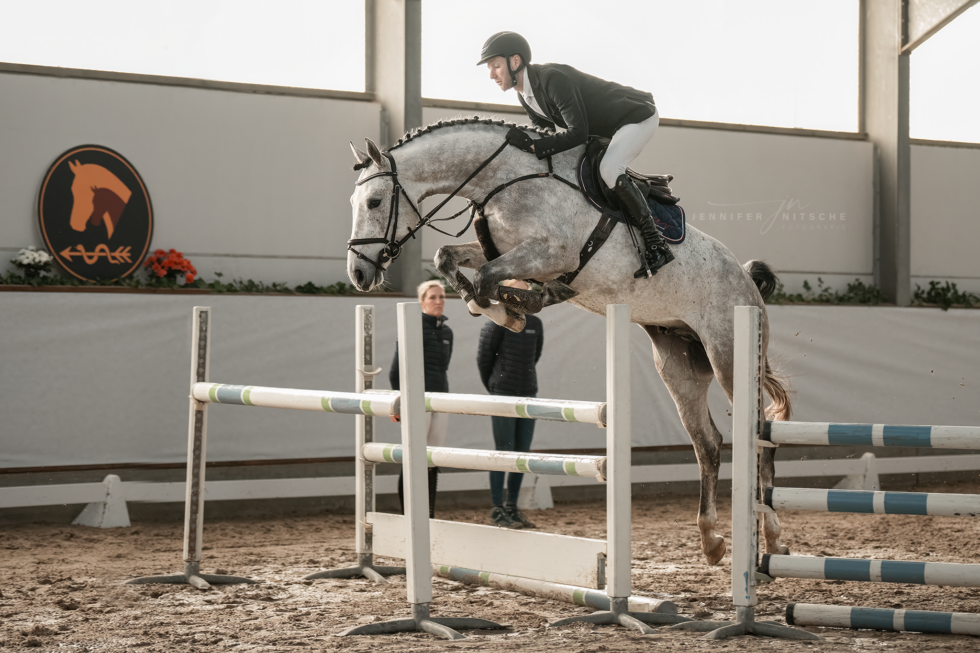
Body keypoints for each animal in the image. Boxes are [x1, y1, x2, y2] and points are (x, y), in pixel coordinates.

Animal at [345, 116, 791, 566]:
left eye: (375, 203)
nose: (359, 274)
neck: (503, 178)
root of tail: (746, 280)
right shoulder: (505, 249)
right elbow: (448, 258)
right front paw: (498, 307)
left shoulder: (551, 253)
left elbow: (490, 277)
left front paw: (516, 307)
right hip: (679, 365)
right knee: (708, 443)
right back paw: (712, 540)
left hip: (729, 355)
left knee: (761, 439)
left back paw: (772, 540)